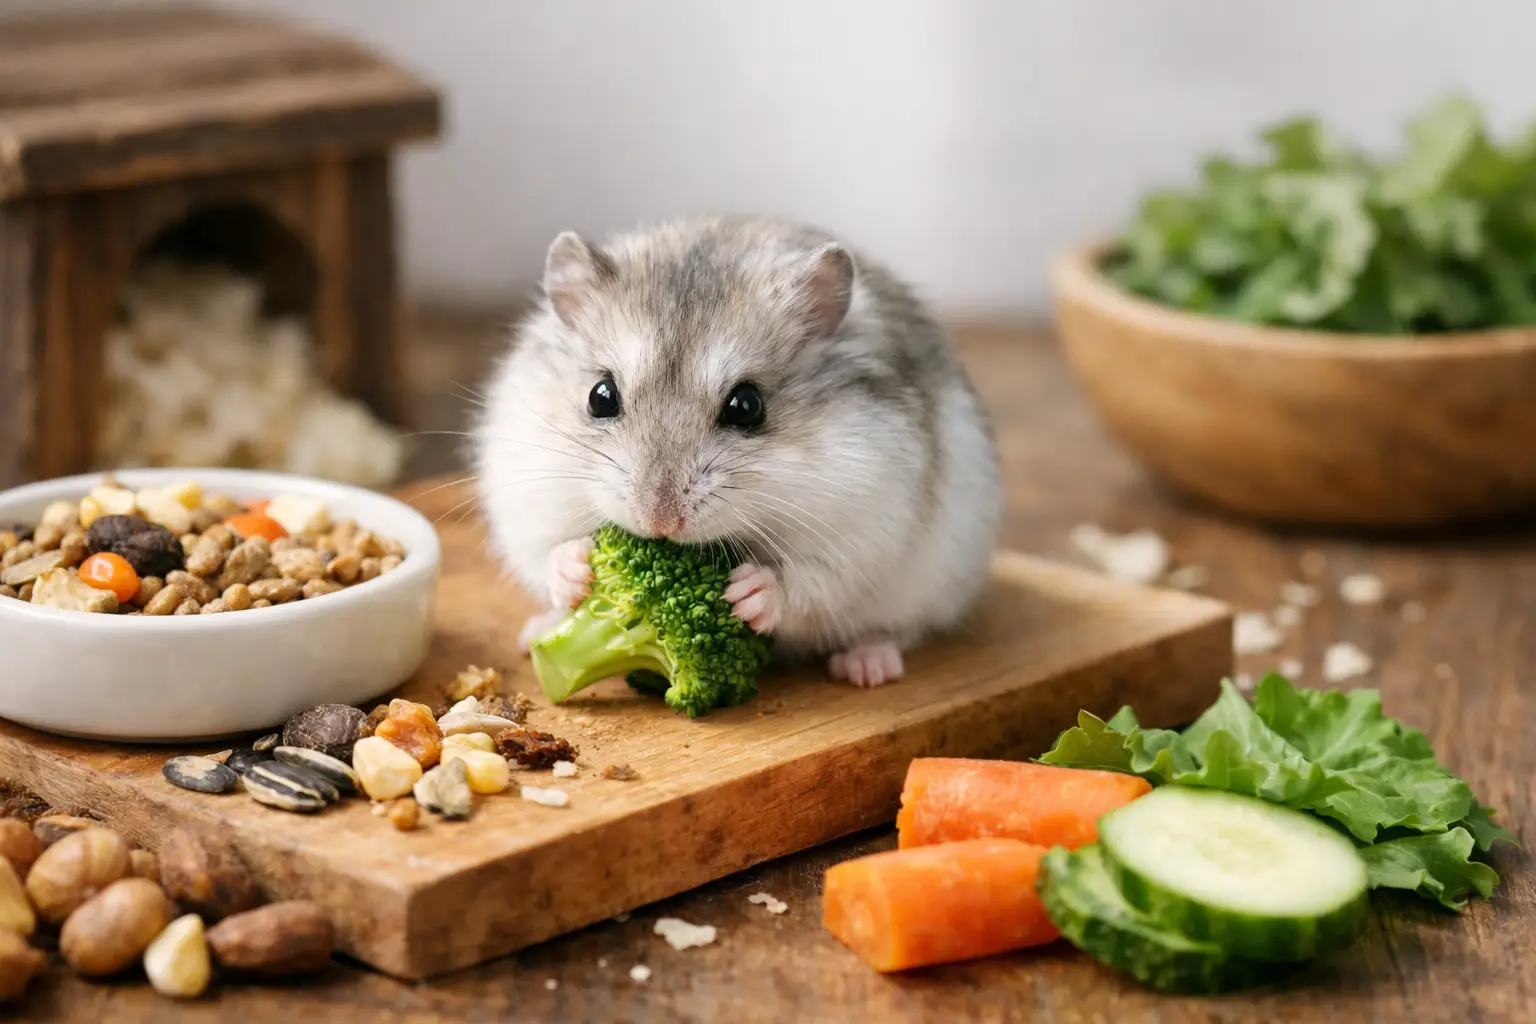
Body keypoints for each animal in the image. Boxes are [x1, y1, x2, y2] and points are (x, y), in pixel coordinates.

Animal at [473, 215, 1001, 687]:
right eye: (600, 396)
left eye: (747, 406)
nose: (659, 523)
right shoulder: (528, 501)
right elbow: (548, 552)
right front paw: (576, 568)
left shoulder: (859, 534)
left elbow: (807, 584)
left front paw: (748, 594)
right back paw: (535, 633)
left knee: (899, 629)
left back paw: (868, 666)